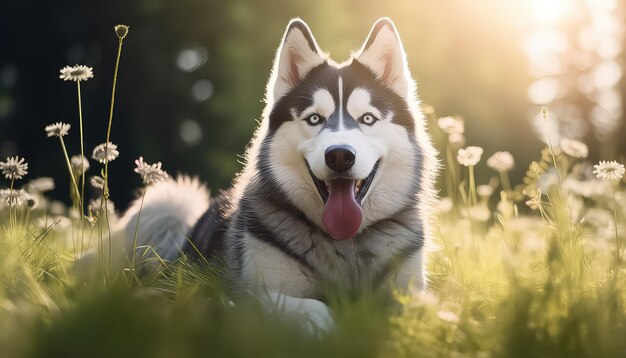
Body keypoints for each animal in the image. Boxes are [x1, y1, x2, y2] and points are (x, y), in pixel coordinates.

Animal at [116, 18, 434, 328]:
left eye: (367, 119)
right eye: (314, 119)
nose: (340, 155)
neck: (346, 243)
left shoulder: (410, 287)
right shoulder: (252, 291)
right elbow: (316, 309)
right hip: (168, 205)